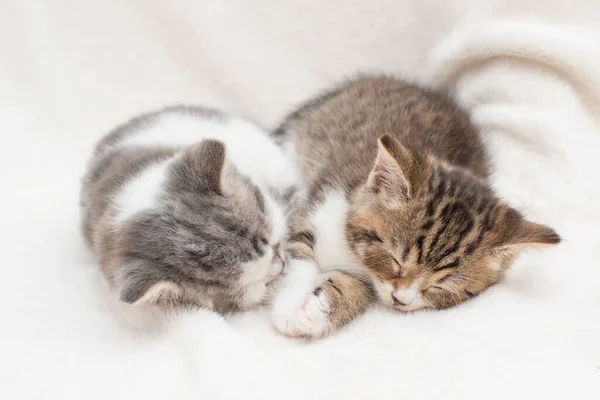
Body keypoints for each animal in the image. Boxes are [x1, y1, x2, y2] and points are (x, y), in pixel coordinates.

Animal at [270, 76, 560, 338]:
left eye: (442, 286)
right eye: (394, 260)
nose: (401, 298)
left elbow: (359, 290)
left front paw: (313, 314)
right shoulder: (317, 206)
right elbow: (297, 258)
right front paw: (288, 305)